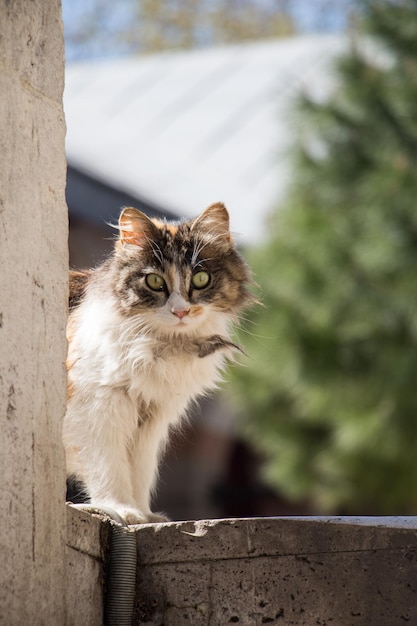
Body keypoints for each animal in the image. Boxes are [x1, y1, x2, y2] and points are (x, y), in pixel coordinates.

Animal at [63, 200, 252, 520]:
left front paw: (145, 515)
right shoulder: (97, 406)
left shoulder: (151, 419)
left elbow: (140, 471)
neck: (161, 347)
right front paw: (121, 509)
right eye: (154, 281)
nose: (180, 311)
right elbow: (108, 466)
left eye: (201, 279)